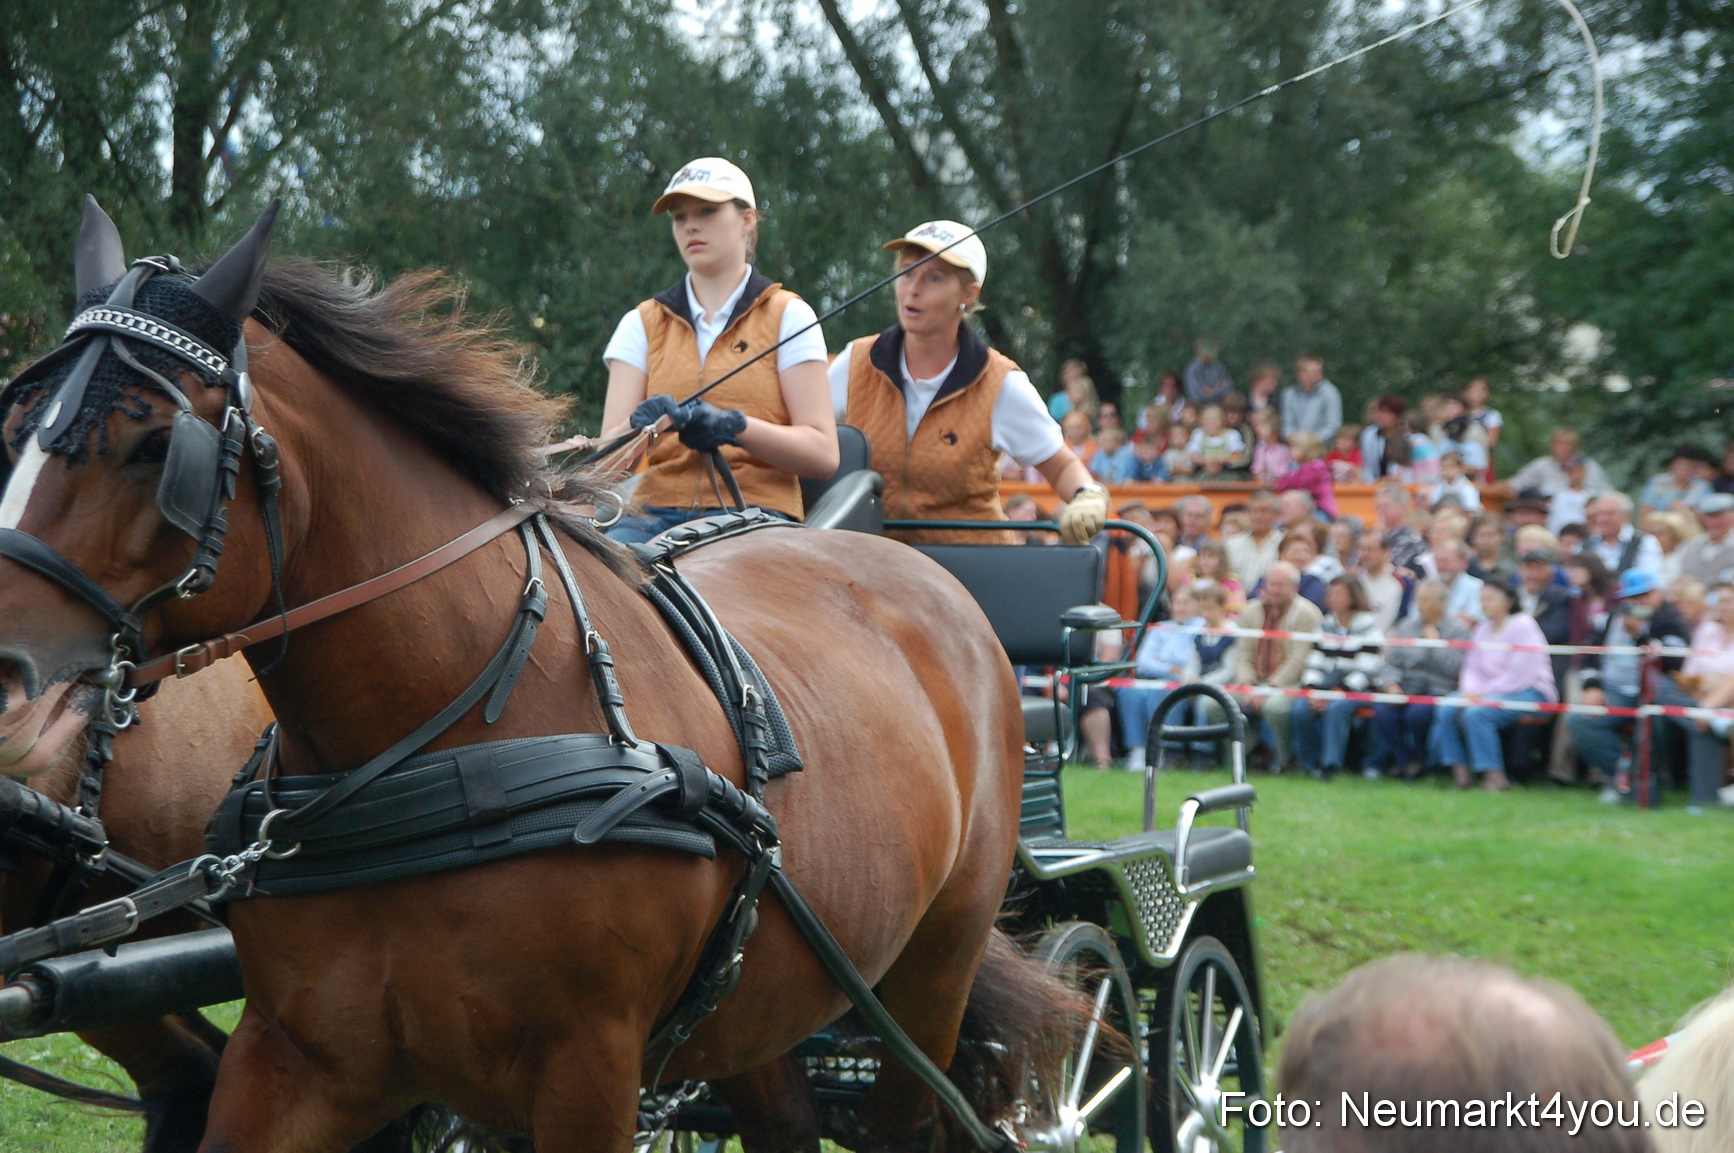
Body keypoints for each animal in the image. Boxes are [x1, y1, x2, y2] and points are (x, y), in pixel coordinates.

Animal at [0, 200, 1056, 1153]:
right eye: (19, 424)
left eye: (153, 444)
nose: (8, 676)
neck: (439, 742)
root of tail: (925, 571)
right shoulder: (301, 1058)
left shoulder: (589, 1071)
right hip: (759, 991)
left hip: (930, 971)